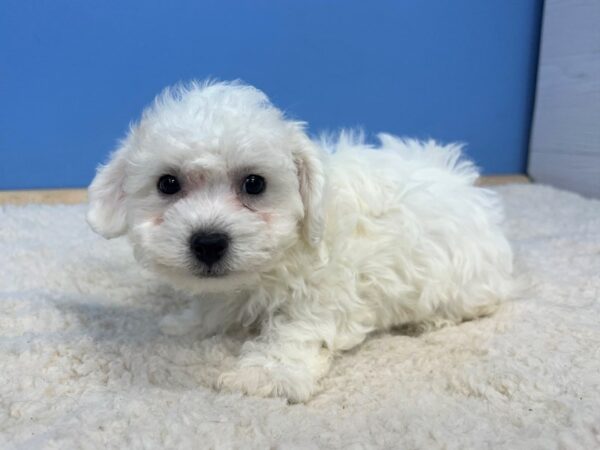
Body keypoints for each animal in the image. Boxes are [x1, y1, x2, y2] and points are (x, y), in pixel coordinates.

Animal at [86, 80, 512, 400]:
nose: (208, 242)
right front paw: (189, 322)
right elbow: (213, 307)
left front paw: (266, 374)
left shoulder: (326, 290)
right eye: (168, 184)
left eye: (254, 184)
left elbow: (295, 329)